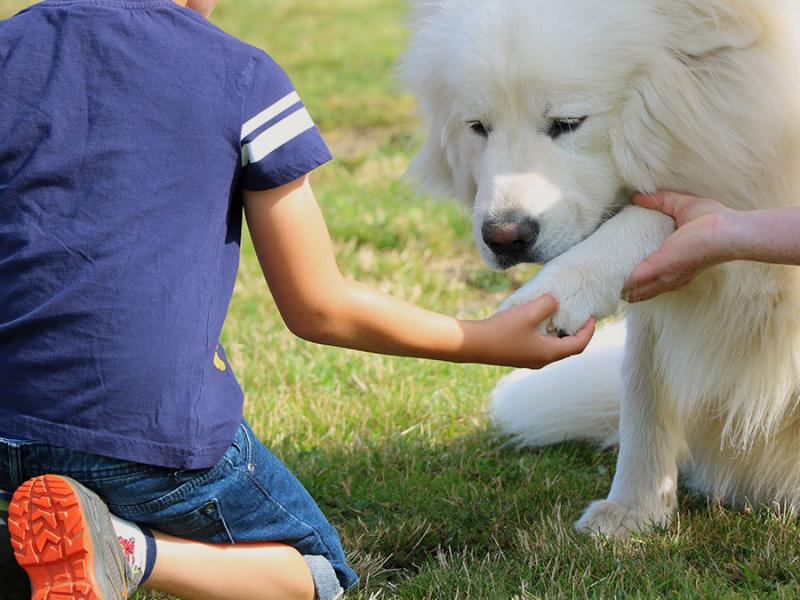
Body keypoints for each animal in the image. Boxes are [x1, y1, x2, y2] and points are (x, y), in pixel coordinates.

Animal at [404, 0, 800, 536]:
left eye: (568, 122)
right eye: (478, 127)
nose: (503, 237)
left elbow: (649, 218)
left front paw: (554, 292)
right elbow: (643, 388)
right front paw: (635, 512)